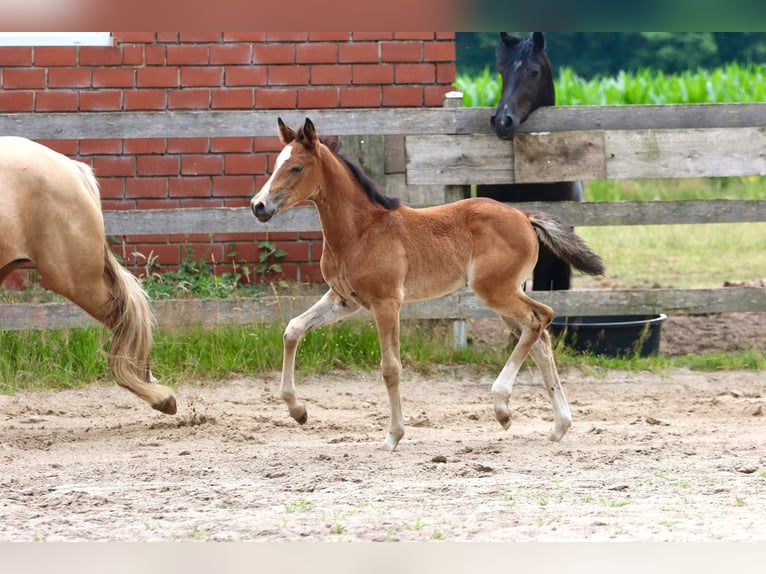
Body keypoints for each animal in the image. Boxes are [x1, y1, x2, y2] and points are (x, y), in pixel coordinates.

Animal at [250, 118, 604, 451]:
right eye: (275, 163)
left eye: (296, 167)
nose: (258, 206)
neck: (361, 231)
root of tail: (524, 216)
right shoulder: (344, 300)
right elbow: (293, 329)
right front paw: (298, 411)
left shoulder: (386, 303)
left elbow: (390, 368)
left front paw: (393, 436)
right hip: (503, 295)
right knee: (539, 338)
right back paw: (557, 426)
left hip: (495, 291)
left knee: (540, 317)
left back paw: (502, 406)